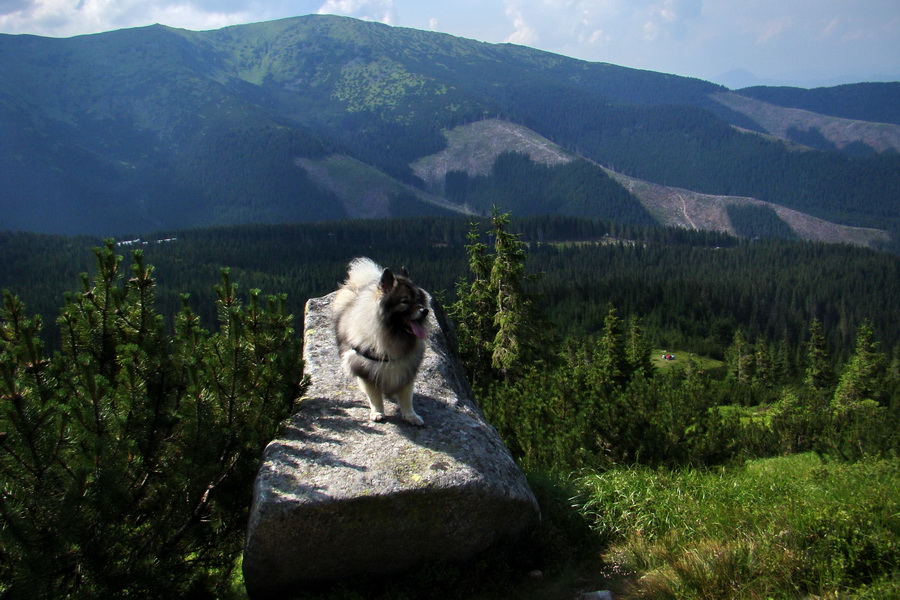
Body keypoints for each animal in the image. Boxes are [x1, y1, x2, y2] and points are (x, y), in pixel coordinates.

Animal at [332, 258, 430, 426]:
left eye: (418, 299)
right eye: (405, 301)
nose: (425, 311)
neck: (392, 335)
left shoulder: (407, 368)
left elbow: (406, 397)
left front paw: (411, 416)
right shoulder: (366, 369)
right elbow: (374, 395)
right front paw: (378, 412)